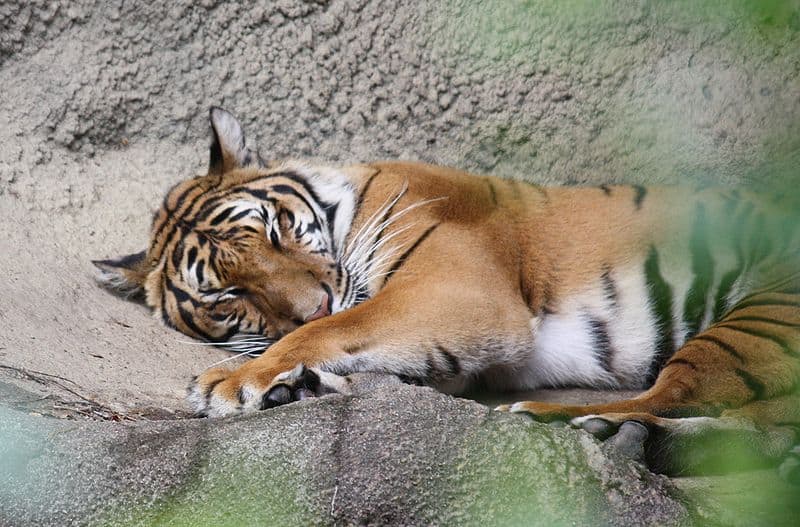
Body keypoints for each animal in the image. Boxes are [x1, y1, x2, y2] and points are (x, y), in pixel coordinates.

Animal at [95, 107, 800, 478]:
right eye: (226, 296)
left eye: (273, 230)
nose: (315, 300)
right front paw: (297, 386)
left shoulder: (461, 289)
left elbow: (335, 328)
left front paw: (234, 382)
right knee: (760, 430)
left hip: (760, 316)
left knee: (674, 396)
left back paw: (577, 425)